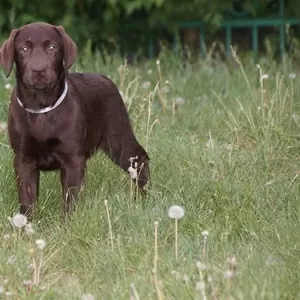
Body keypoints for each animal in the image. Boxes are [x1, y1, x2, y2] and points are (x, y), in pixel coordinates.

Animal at [0, 21, 150, 218]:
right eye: (24, 49)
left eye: (52, 48)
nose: (38, 71)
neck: (41, 107)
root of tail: (103, 77)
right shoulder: (23, 159)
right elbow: (27, 197)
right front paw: (28, 222)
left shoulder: (73, 159)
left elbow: (70, 198)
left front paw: (67, 222)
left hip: (118, 137)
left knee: (140, 159)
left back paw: (144, 197)